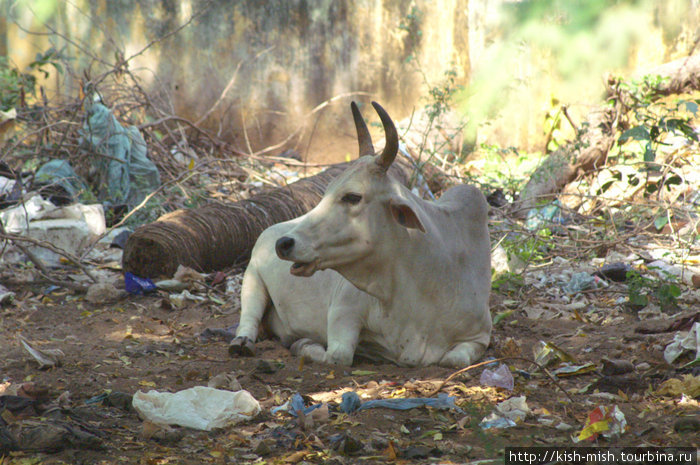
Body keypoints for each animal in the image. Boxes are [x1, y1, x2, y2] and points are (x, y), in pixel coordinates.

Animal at [231, 101, 492, 366]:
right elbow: (338, 356)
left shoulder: (480, 336)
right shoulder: (343, 310)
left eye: (353, 196)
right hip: (252, 279)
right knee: (249, 319)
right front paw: (304, 344)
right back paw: (242, 343)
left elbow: (454, 360)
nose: (284, 244)